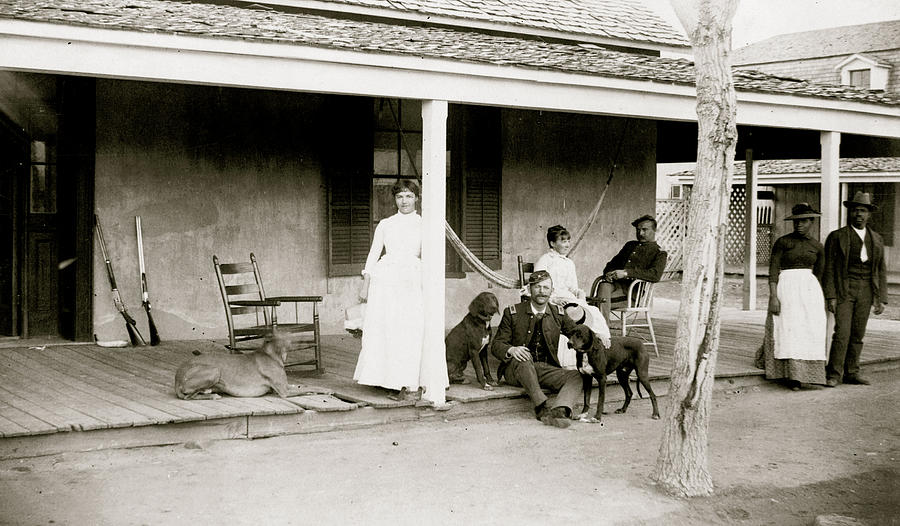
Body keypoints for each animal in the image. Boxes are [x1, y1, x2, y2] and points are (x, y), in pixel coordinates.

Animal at [172, 332, 302, 402]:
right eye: (285, 335)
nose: (299, 341)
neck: (271, 355)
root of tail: (177, 378)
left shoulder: (284, 386)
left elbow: (298, 386)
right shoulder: (284, 392)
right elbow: (306, 390)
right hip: (214, 370)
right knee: (188, 396)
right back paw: (212, 395)